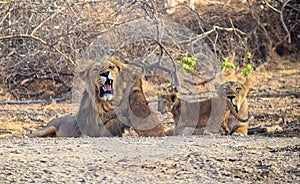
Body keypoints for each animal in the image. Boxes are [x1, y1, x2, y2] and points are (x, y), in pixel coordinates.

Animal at [28, 56, 165, 137]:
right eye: (95, 70)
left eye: (111, 67)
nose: (105, 73)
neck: (108, 103)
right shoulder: (94, 130)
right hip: (47, 129)